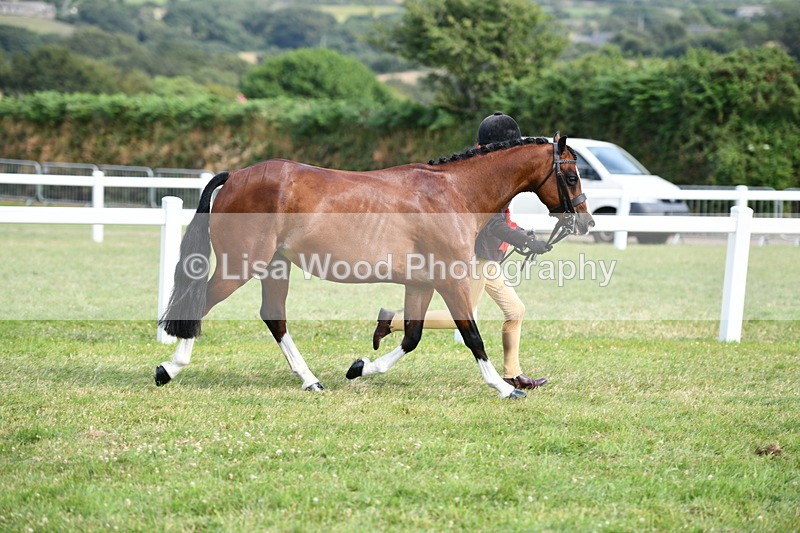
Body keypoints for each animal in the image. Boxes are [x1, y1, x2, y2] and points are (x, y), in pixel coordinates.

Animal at [156, 133, 594, 399]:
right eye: (572, 175)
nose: (586, 222)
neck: (452, 192)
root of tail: (235, 176)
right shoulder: (449, 279)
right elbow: (472, 336)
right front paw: (505, 388)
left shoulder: (421, 283)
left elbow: (412, 336)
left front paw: (361, 367)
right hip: (240, 265)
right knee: (201, 305)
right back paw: (169, 369)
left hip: (275, 267)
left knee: (273, 316)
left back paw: (311, 380)